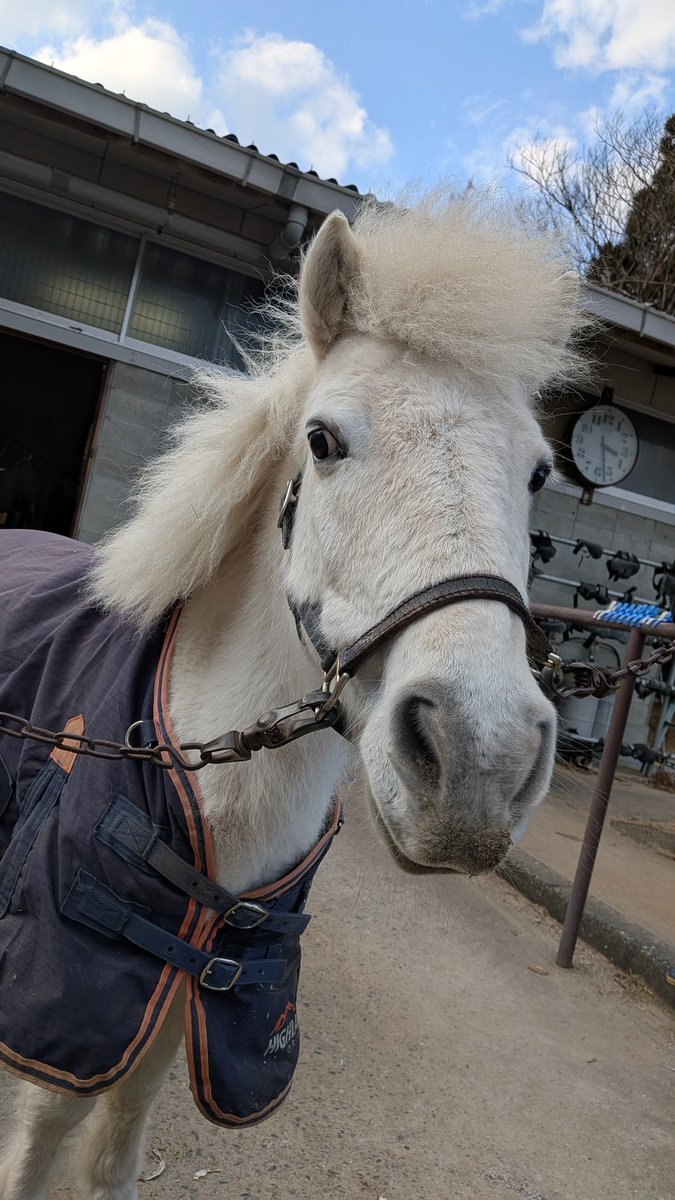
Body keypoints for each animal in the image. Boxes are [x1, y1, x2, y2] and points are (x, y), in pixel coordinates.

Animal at [0, 190, 586, 1200]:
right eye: (323, 440)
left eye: (539, 471)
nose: (479, 762)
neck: (205, 785)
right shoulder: (67, 1019)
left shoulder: (184, 1002)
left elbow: (117, 1142)